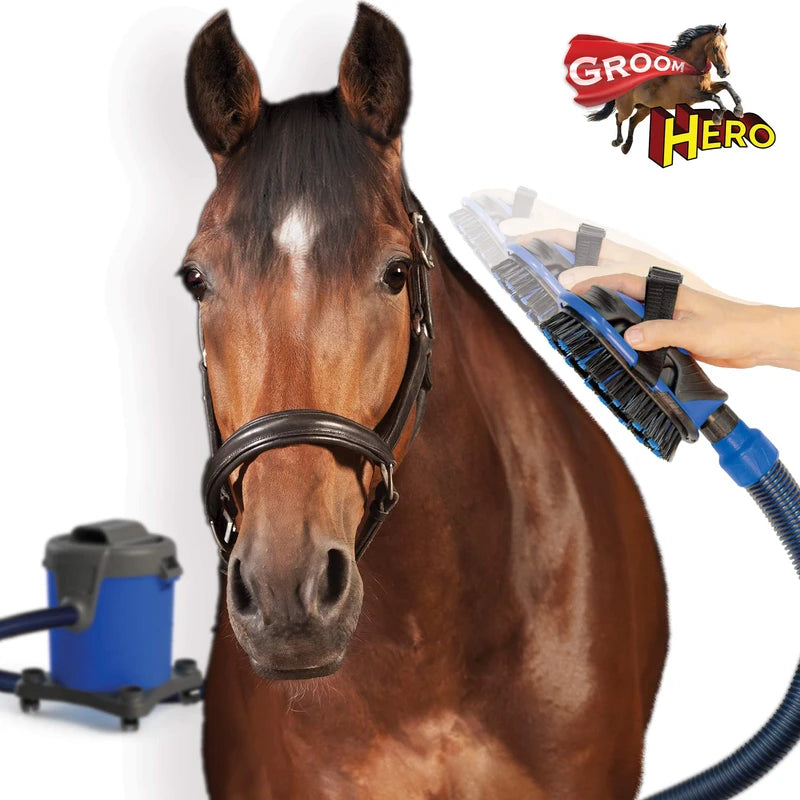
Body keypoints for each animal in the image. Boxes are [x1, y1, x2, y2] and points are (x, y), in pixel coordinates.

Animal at [589, 24, 743, 154]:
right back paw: (618, 141)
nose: (725, 72)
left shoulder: (708, 87)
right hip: (627, 108)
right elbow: (716, 97)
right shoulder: (692, 96)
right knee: (619, 117)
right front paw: (718, 117)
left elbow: (726, 85)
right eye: (716, 47)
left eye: (726, 46)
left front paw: (738, 109)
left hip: (645, 109)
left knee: (632, 121)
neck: (691, 69)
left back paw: (626, 146)